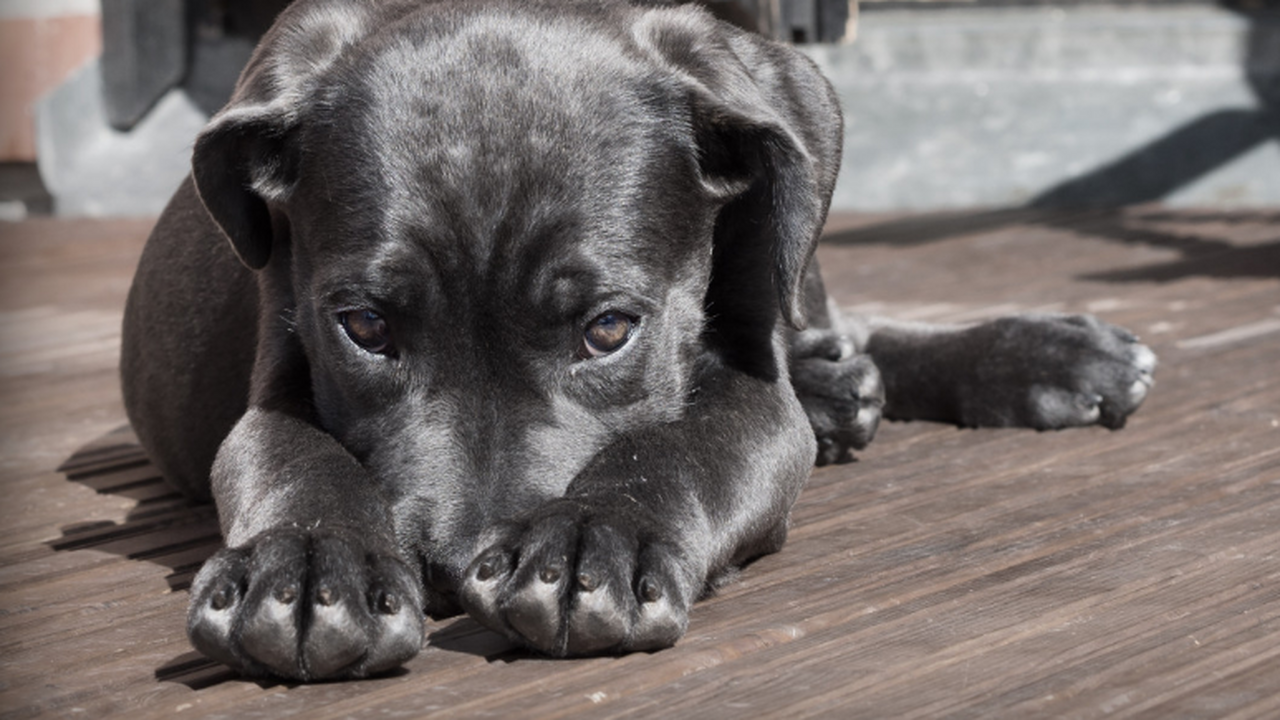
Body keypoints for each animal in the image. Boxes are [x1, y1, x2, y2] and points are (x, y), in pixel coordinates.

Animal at [122, 0, 1162, 676]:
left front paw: (597, 539)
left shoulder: (751, 390)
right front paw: (307, 566)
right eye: (366, 327)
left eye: (610, 330)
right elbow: (291, 455)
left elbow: (686, 445)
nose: (453, 570)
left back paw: (1038, 355)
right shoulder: (277, 372)